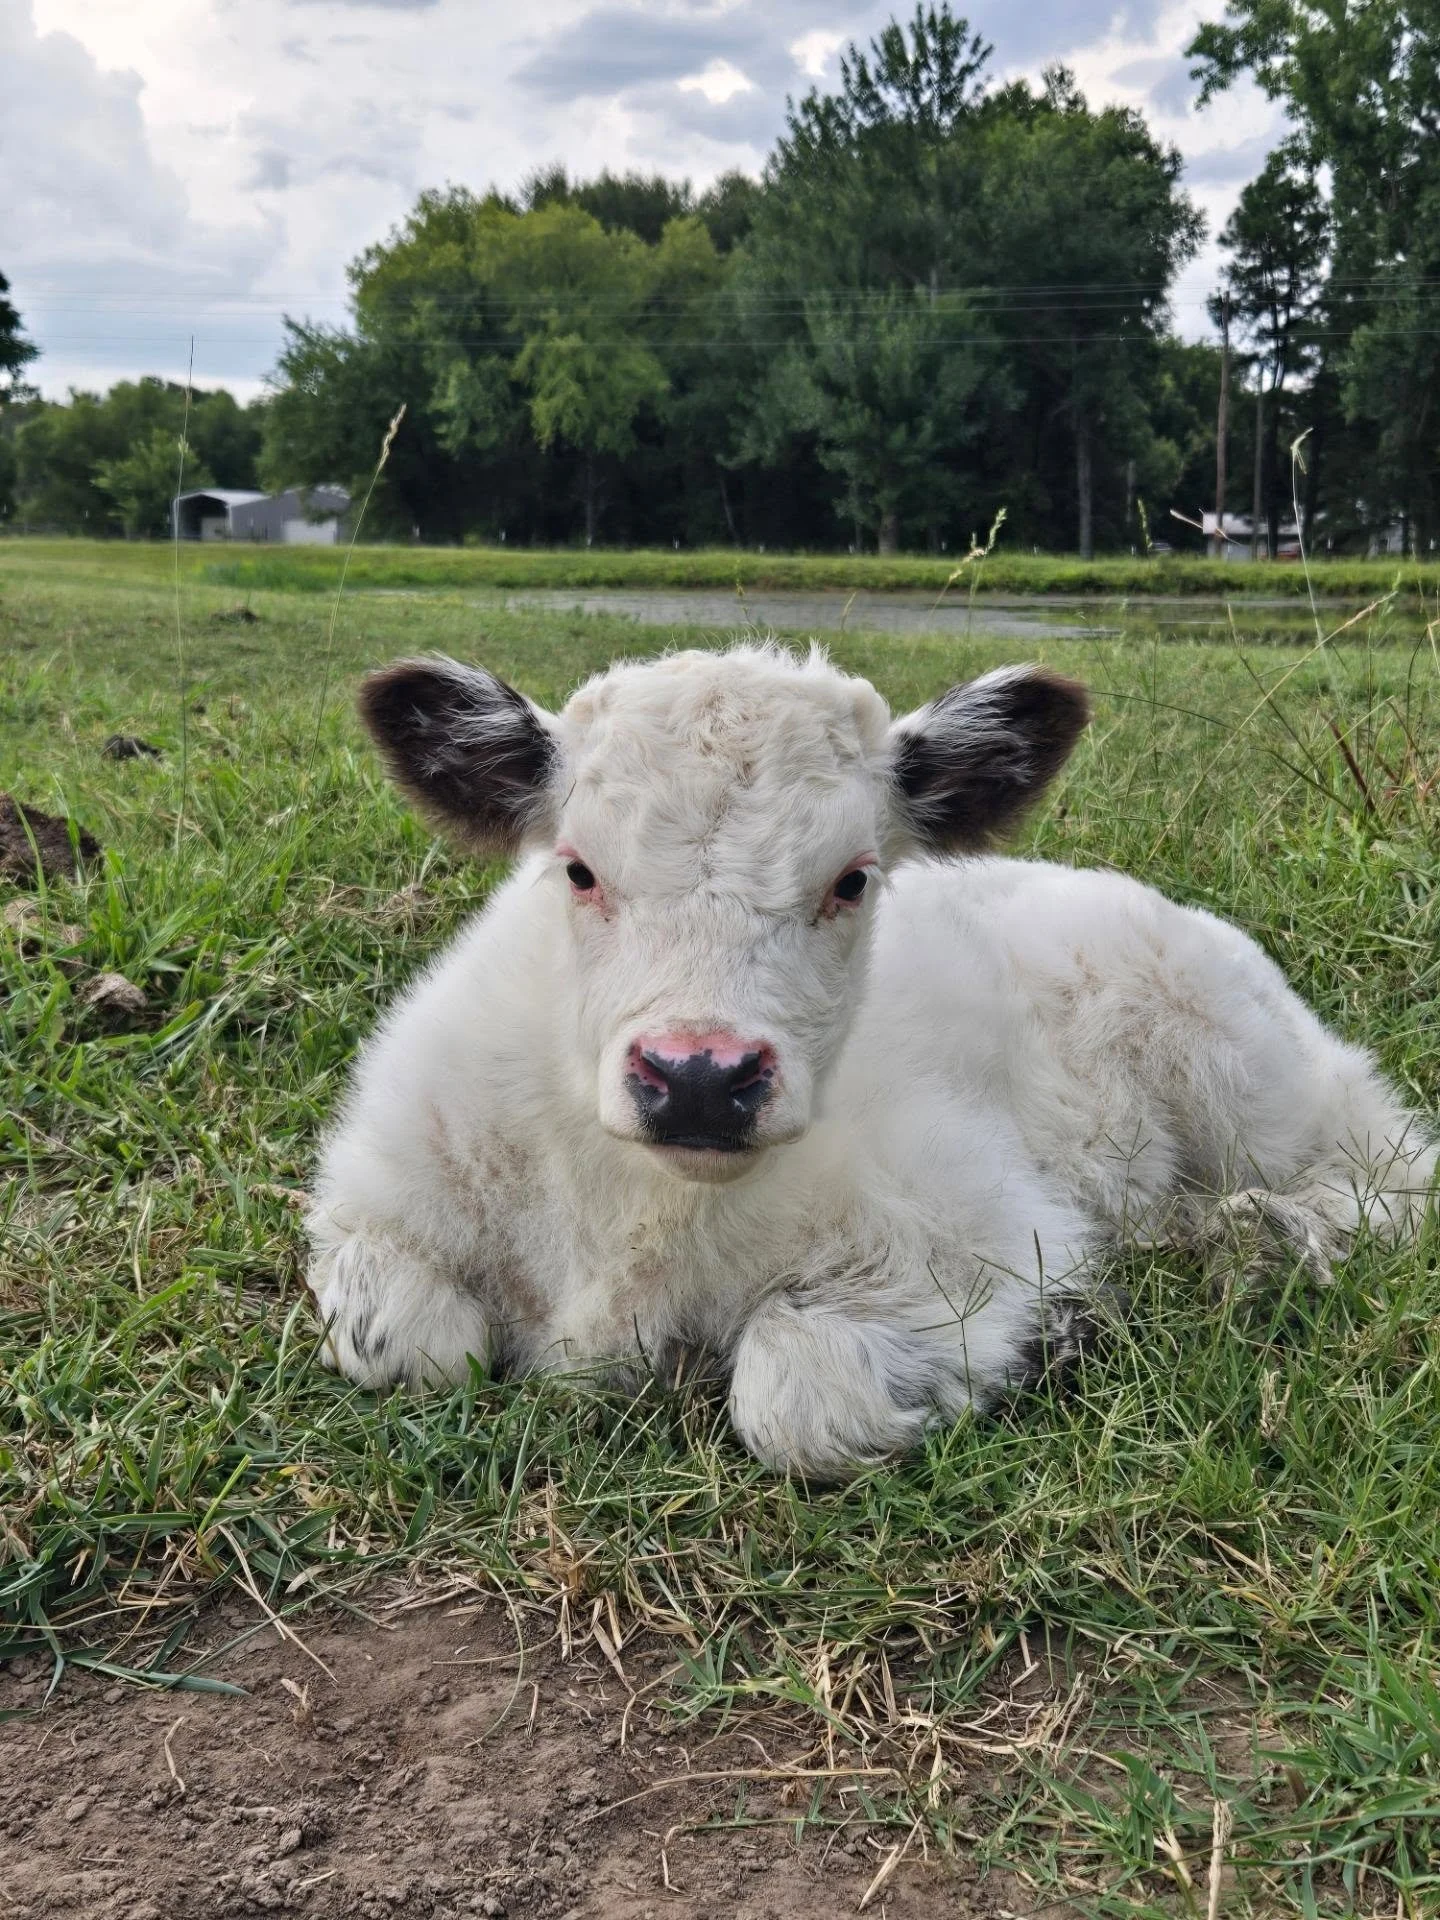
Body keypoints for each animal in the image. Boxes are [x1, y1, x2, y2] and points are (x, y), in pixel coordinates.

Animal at [306, 643, 1435, 1477]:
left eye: (851, 880)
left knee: (1394, 1170)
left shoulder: (984, 1225)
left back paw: (1275, 1237)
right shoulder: (377, 1202)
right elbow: (402, 1343)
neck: (635, 1212)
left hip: (1252, 1078)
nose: (701, 1078)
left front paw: (1053, 1338)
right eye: (579, 870)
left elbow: (794, 1392)